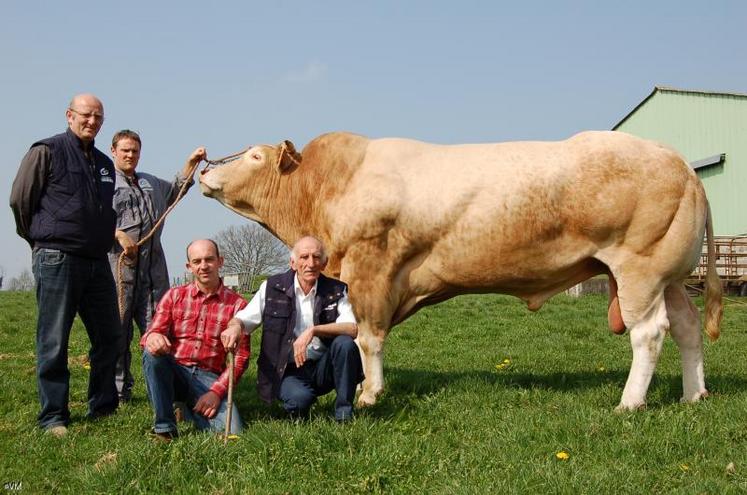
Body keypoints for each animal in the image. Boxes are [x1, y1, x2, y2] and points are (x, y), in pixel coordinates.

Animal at [197, 131, 720, 410]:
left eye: (254, 155)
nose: (202, 169)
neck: (328, 187)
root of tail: (679, 163)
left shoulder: (371, 270)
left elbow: (369, 338)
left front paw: (370, 394)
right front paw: (366, 386)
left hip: (640, 269)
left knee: (649, 333)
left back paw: (629, 402)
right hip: (671, 278)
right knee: (687, 327)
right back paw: (694, 394)